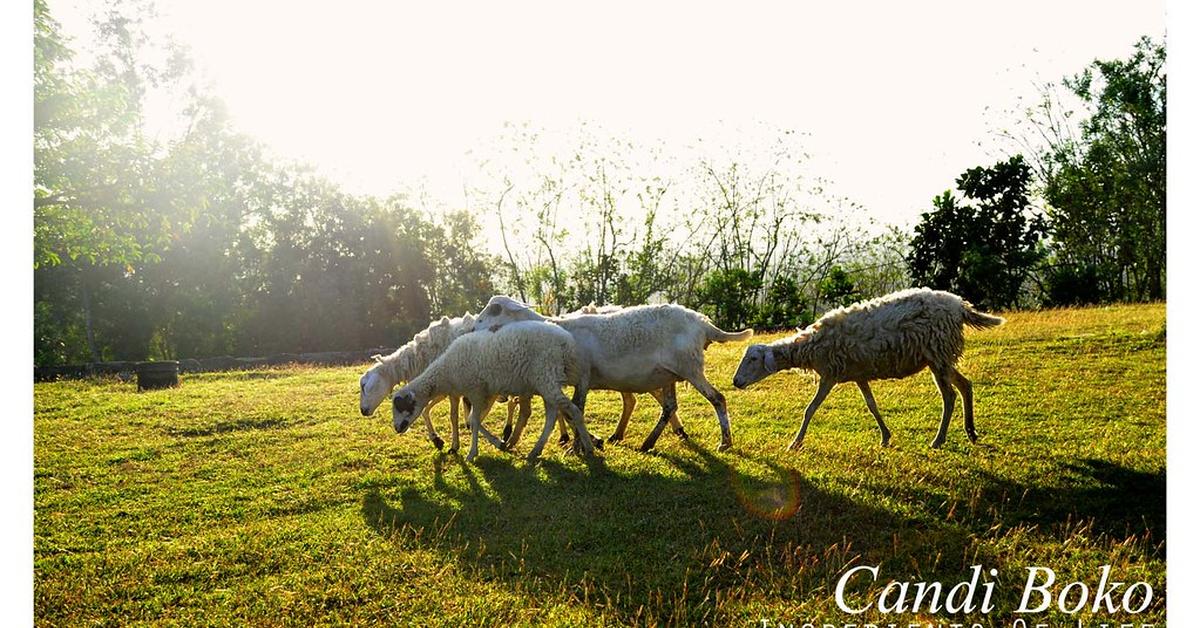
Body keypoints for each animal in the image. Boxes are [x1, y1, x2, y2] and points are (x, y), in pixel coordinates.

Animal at [391, 321, 592, 463]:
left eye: (401, 406)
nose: (396, 428)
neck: (446, 370)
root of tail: (567, 344)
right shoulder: (482, 393)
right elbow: (473, 421)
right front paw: (498, 443)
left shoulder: (476, 391)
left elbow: (473, 421)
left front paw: (472, 453)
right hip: (546, 381)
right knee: (551, 416)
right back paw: (535, 451)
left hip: (546, 377)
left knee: (573, 411)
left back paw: (588, 448)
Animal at [470, 296, 744, 449]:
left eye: (494, 310)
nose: (473, 327)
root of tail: (703, 323)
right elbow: (570, 412)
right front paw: (587, 443)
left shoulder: (583, 377)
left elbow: (576, 410)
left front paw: (580, 447)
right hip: (669, 374)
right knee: (669, 407)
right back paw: (647, 443)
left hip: (690, 367)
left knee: (718, 398)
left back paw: (725, 442)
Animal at [729, 286, 1003, 449]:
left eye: (752, 360)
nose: (736, 382)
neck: (810, 347)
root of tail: (959, 305)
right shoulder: (858, 374)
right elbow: (872, 406)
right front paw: (885, 437)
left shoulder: (830, 374)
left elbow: (810, 409)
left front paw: (795, 443)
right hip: (941, 357)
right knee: (965, 385)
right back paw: (971, 432)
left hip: (938, 353)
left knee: (950, 396)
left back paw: (938, 440)